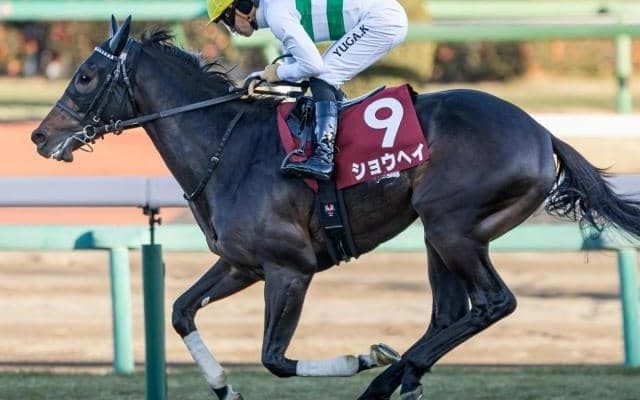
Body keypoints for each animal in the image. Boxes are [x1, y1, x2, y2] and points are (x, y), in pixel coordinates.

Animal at [31, 18, 640, 400]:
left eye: (85, 76)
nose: (39, 136)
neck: (229, 146)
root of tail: (543, 133)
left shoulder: (290, 269)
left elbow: (276, 358)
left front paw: (362, 359)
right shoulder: (242, 264)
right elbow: (181, 311)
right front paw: (225, 387)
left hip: (453, 227)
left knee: (493, 302)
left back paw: (388, 375)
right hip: (438, 234)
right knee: (450, 312)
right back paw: (401, 376)